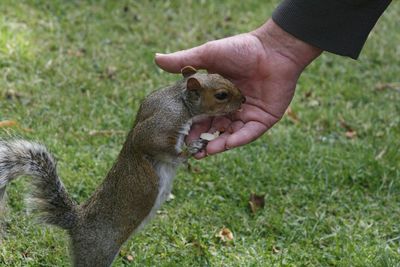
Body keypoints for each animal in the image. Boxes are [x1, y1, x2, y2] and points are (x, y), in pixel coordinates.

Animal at [0, 66, 244, 267]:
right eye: (221, 95)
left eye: (223, 76)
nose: (243, 99)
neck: (179, 98)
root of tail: (76, 223)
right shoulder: (160, 125)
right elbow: (156, 147)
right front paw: (190, 150)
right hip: (97, 254)